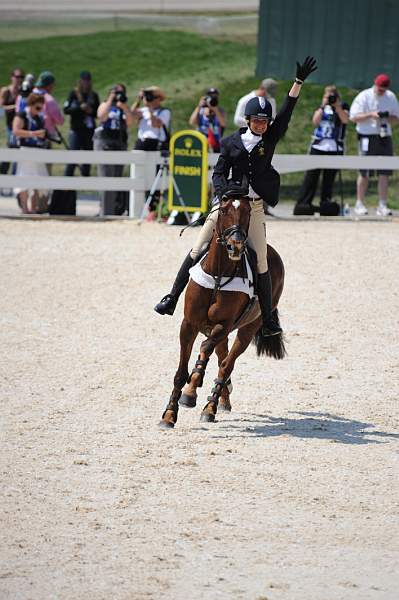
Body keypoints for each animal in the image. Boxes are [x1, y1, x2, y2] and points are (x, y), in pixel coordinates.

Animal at [160, 196, 288, 426]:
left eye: (248, 211)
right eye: (223, 211)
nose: (235, 245)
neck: (218, 275)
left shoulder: (224, 324)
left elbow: (205, 350)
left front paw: (191, 392)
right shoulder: (189, 324)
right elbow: (181, 371)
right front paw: (169, 414)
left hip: (248, 328)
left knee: (226, 364)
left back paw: (210, 408)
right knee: (222, 358)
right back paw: (221, 400)